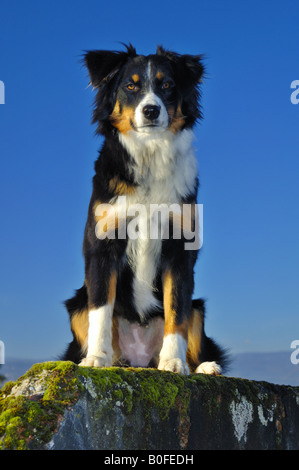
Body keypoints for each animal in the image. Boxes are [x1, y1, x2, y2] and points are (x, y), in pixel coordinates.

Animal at [62, 44, 229, 374]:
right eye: (130, 86)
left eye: (167, 85)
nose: (151, 110)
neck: (149, 155)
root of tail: (139, 361)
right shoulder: (102, 245)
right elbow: (101, 310)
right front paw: (97, 358)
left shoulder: (180, 248)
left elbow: (176, 310)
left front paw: (174, 362)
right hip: (76, 303)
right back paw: (111, 359)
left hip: (199, 307)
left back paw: (203, 366)